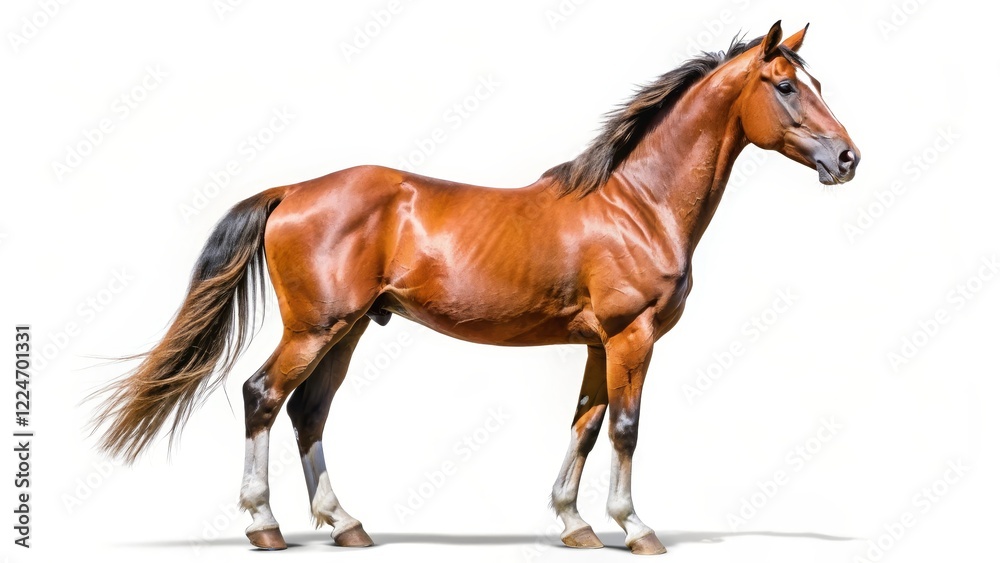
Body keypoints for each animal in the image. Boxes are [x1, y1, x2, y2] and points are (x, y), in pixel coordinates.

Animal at [91, 21, 859, 555]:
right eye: (786, 86)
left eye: (815, 83)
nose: (847, 157)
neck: (636, 204)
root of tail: (292, 191)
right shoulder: (631, 336)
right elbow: (625, 427)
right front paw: (635, 527)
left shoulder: (597, 344)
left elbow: (584, 423)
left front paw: (573, 523)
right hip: (314, 328)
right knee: (263, 396)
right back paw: (265, 524)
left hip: (346, 331)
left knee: (309, 412)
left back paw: (345, 523)